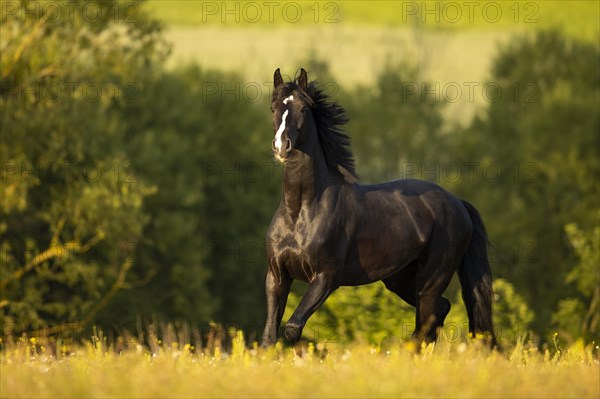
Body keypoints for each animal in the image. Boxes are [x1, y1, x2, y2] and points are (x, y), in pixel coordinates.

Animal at [262, 68, 496, 346]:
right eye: (273, 107)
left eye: (303, 108)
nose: (281, 146)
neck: (300, 212)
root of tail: (458, 203)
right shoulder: (277, 276)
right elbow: (269, 336)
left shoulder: (325, 278)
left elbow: (292, 328)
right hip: (399, 279)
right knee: (440, 310)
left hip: (433, 277)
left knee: (427, 320)